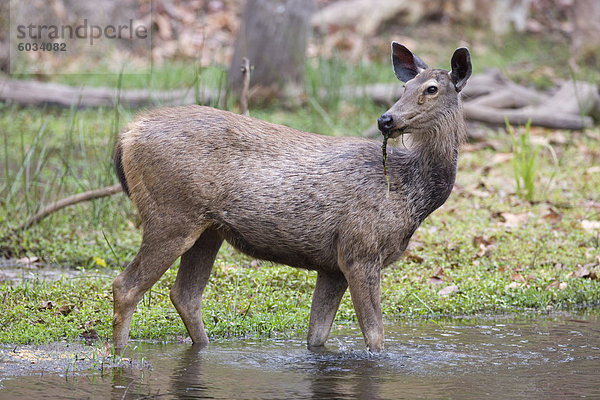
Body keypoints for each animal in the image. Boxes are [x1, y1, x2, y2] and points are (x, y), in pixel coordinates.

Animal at [111, 42, 468, 352]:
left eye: (431, 89)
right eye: (405, 88)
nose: (386, 119)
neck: (410, 194)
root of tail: (127, 135)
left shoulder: (332, 265)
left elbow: (317, 337)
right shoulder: (360, 249)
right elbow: (375, 338)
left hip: (209, 230)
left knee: (185, 295)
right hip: (171, 215)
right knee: (126, 287)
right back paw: (120, 355)